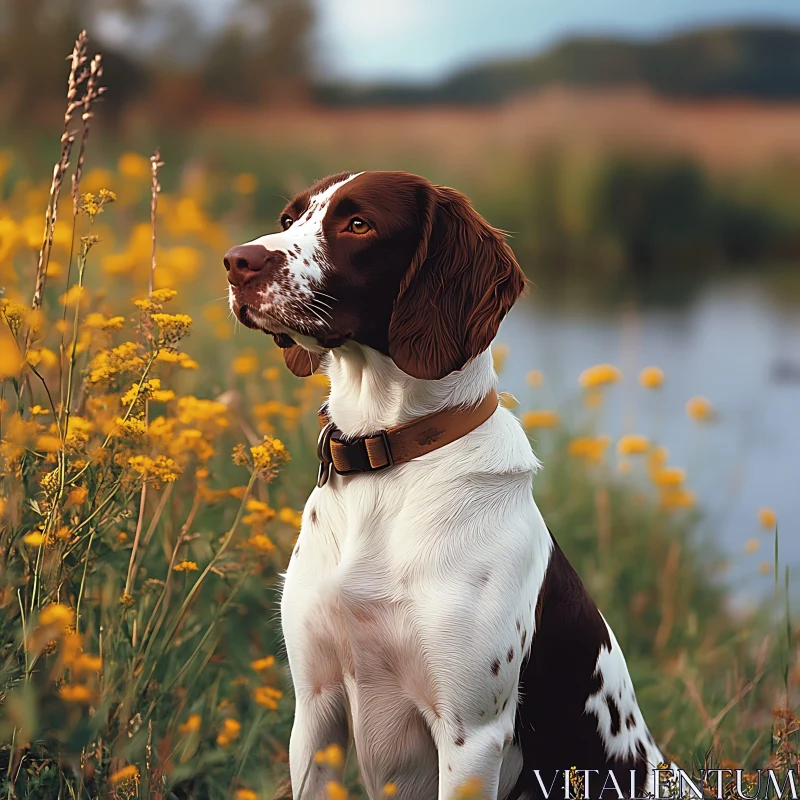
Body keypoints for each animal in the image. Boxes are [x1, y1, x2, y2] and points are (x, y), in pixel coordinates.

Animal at [223, 173, 668, 800]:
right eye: (289, 219)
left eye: (358, 224)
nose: (237, 262)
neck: (384, 458)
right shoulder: (315, 710)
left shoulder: (470, 736)